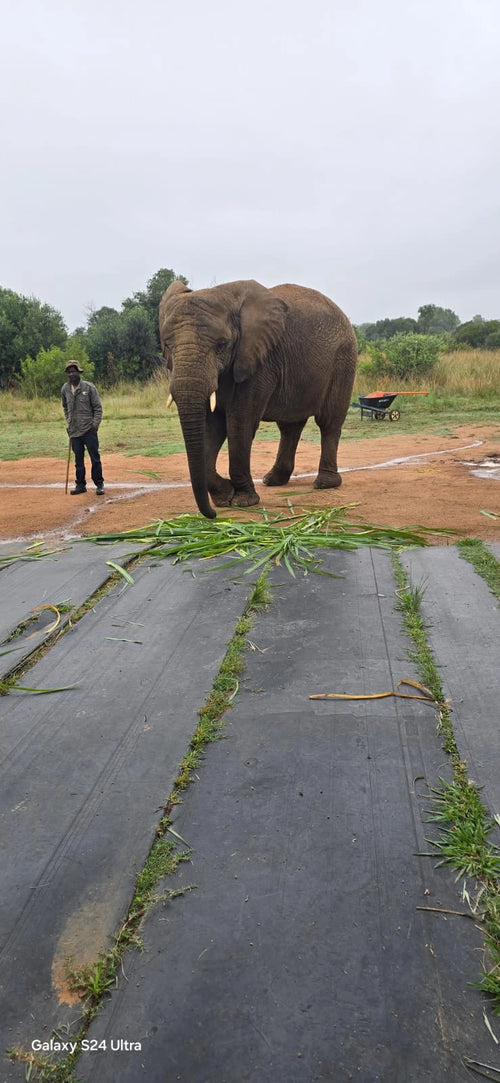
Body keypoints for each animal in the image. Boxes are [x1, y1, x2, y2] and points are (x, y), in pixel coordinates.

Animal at [159, 279, 358, 519]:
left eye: (221, 344)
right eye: (167, 345)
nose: (212, 515)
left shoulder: (259, 362)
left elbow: (239, 423)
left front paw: (243, 501)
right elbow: (212, 426)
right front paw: (224, 498)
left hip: (344, 359)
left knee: (328, 422)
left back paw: (325, 484)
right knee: (290, 426)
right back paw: (273, 480)